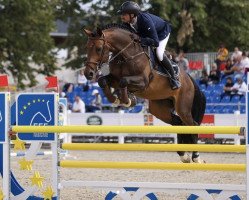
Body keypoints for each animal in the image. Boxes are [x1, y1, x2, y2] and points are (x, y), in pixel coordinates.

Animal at [83, 23, 206, 163]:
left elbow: (124, 81)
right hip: (159, 108)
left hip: (183, 107)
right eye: (87, 47)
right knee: (178, 123)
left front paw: (127, 100)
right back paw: (183, 155)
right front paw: (117, 99)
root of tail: (189, 79)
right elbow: (102, 81)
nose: (88, 73)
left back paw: (196, 157)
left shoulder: (143, 81)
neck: (125, 54)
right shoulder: (114, 78)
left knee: (192, 125)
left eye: (98, 49)